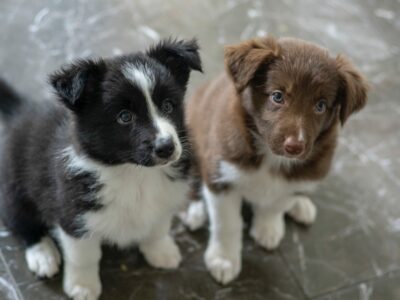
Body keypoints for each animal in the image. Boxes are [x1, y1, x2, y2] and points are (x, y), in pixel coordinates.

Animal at [0, 39, 200, 300]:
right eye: (124, 117)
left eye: (168, 106)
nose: (167, 147)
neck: (134, 173)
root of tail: (22, 112)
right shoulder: (73, 214)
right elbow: (84, 256)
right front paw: (82, 287)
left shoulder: (166, 197)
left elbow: (157, 227)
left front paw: (162, 252)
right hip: (14, 187)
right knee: (21, 221)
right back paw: (43, 255)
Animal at [181, 37, 368, 284]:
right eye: (277, 96)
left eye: (320, 105)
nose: (295, 146)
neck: (271, 157)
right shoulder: (221, 175)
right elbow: (226, 223)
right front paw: (224, 260)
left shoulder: (299, 176)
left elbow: (277, 203)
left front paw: (267, 228)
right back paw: (194, 211)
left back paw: (301, 204)